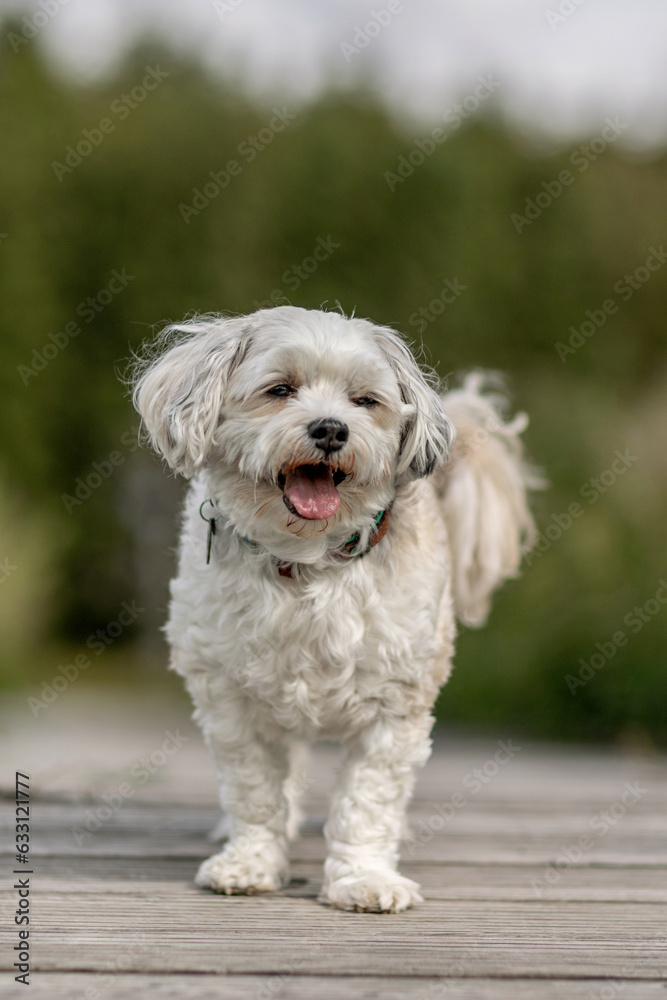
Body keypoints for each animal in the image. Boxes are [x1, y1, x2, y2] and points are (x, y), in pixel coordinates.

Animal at [133, 304, 536, 916]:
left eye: (364, 401)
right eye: (280, 389)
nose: (331, 428)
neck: (307, 563)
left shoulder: (395, 707)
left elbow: (367, 803)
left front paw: (363, 879)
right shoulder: (231, 699)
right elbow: (255, 789)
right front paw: (249, 862)